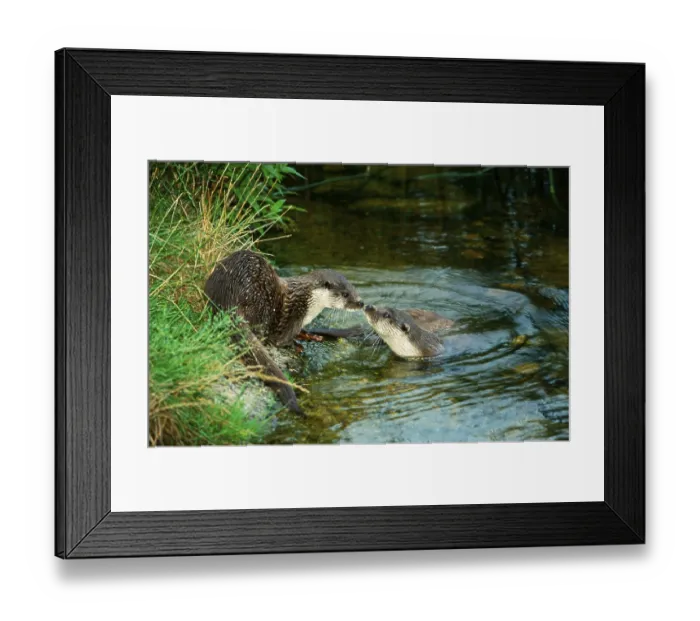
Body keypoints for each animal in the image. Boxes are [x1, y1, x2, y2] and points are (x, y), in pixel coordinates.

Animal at [204, 250, 364, 413]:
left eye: (353, 289)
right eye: (345, 294)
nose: (361, 303)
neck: (308, 302)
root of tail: (229, 295)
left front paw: (312, 335)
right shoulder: (293, 316)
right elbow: (281, 340)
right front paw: (297, 344)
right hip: (260, 303)